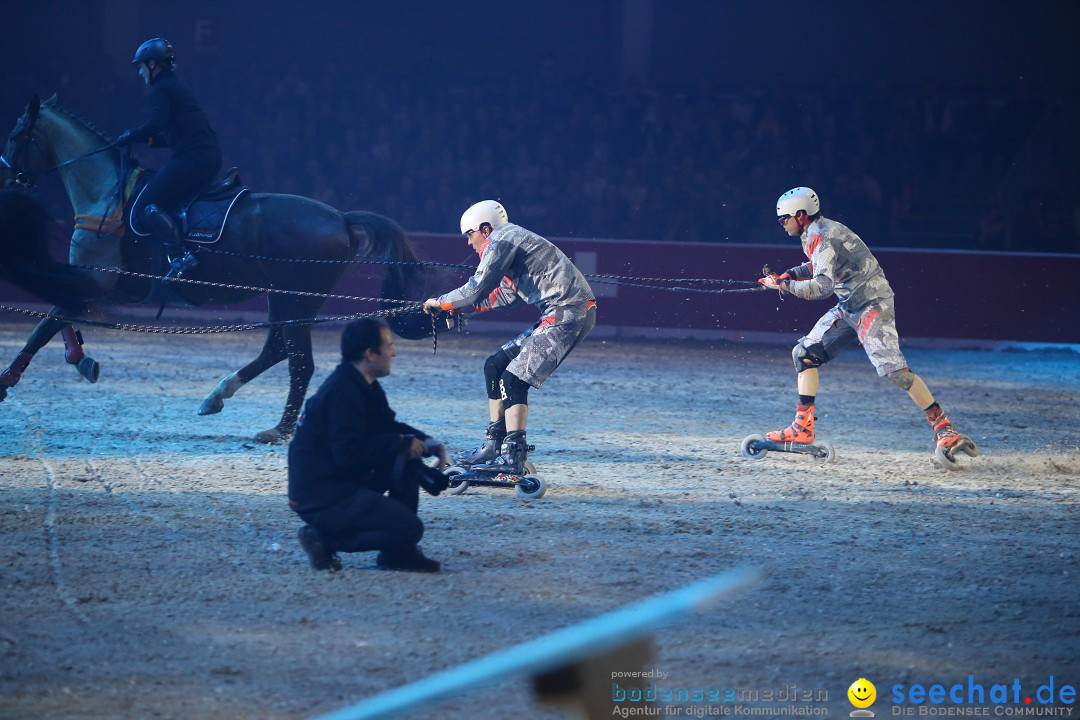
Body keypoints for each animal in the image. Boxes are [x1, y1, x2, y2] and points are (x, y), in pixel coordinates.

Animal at [1, 95, 429, 444]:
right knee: (277, 350)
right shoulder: (89, 282)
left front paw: (9, 381)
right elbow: (56, 319)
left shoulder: (95, 281)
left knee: (299, 362)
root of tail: (341, 218)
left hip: (296, 299)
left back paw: (278, 430)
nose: (8, 179)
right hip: (284, 298)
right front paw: (80, 361)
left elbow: (46, 325)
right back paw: (218, 396)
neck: (106, 196)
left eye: (17, 135)